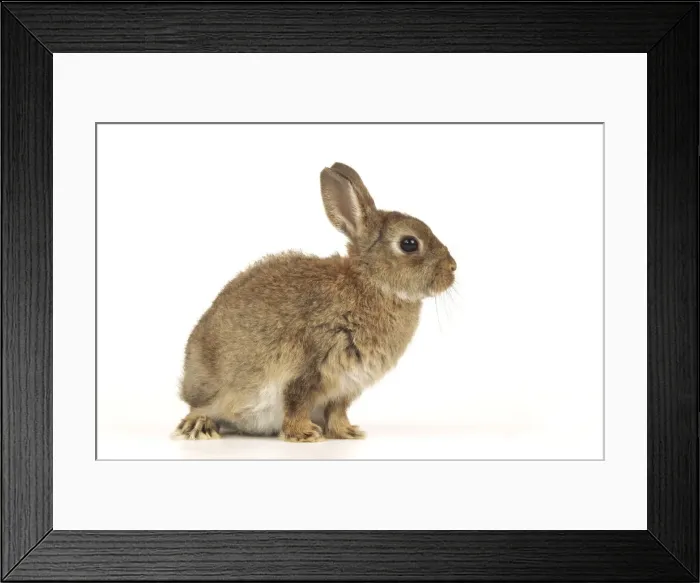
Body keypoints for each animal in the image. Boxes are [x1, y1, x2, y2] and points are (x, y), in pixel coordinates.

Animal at [174, 162, 456, 442]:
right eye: (409, 243)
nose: (453, 268)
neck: (369, 281)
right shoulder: (308, 365)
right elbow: (297, 402)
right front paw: (304, 434)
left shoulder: (345, 386)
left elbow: (337, 410)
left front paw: (346, 432)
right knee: (200, 408)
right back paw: (198, 426)